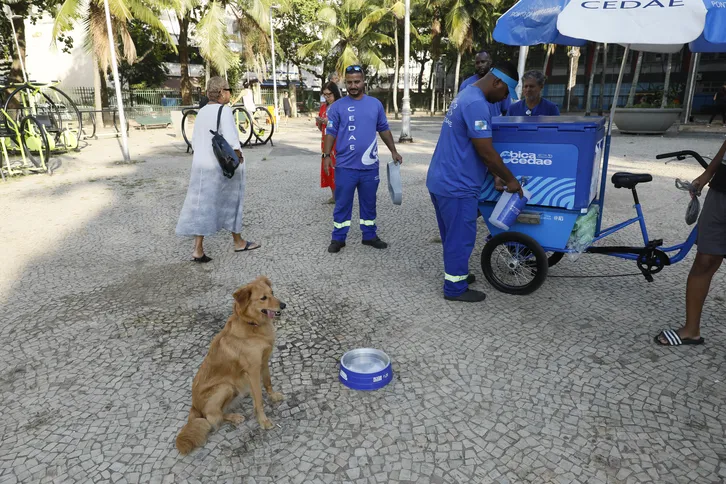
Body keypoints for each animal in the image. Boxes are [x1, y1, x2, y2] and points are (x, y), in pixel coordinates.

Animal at [177, 276, 288, 454]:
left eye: (272, 292)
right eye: (263, 298)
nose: (283, 305)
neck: (252, 324)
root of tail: (194, 406)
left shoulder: (264, 360)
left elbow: (267, 382)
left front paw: (273, 395)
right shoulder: (253, 370)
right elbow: (259, 400)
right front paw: (263, 421)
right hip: (225, 387)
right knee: (212, 418)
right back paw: (234, 417)